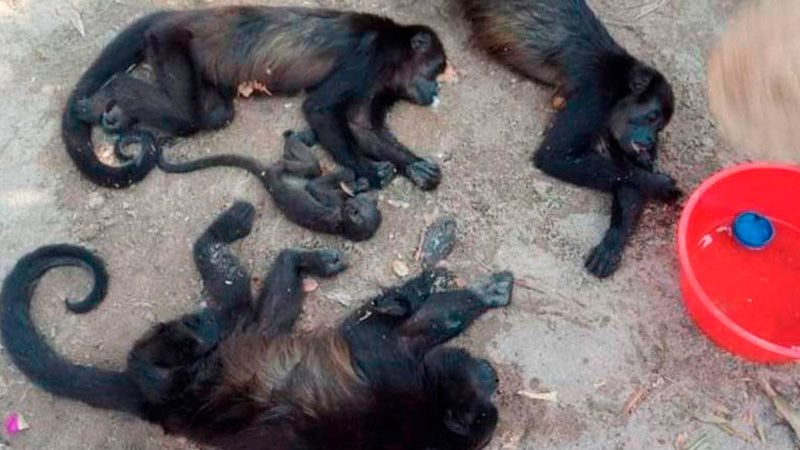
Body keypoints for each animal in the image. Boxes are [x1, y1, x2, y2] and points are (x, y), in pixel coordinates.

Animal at [1, 201, 513, 450]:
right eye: (482, 403)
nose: (495, 376)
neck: (429, 413)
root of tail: (150, 404)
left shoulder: (395, 374)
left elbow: (398, 324)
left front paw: (438, 291)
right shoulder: (398, 369)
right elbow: (420, 318)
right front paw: (466, 290)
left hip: (221, 357)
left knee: (223, 308)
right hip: (233, 342)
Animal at [64, 6, 447, 191]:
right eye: (436, 71)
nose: (437, 90)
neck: (394, 54)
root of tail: (178, 16)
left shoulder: (377, 81)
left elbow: (361, 125)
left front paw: (414, 165)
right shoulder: (367, 59)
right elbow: (320, 108)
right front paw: (366, 169)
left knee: (214, 113)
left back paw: (118, 114)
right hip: (168, 41)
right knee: (185, 115)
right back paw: (110, 94)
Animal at [158, 130, 381, 242]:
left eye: (357, 209)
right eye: (363, 204)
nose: (357, 203)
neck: (343, 225)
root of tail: (268, 177)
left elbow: (314, 188)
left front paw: (352, 179)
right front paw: (358, 183)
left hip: (282, 170)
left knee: (308, 165)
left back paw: (294, 141)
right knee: (310, 166)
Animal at [458, 0, 681, 278]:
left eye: (660, 127)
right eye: (652, 116)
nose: (650, 139)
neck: (619, 83)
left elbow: (629, 180)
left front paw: (613, 240)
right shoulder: (595, 96)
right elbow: (553, 155)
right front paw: (660, 184)